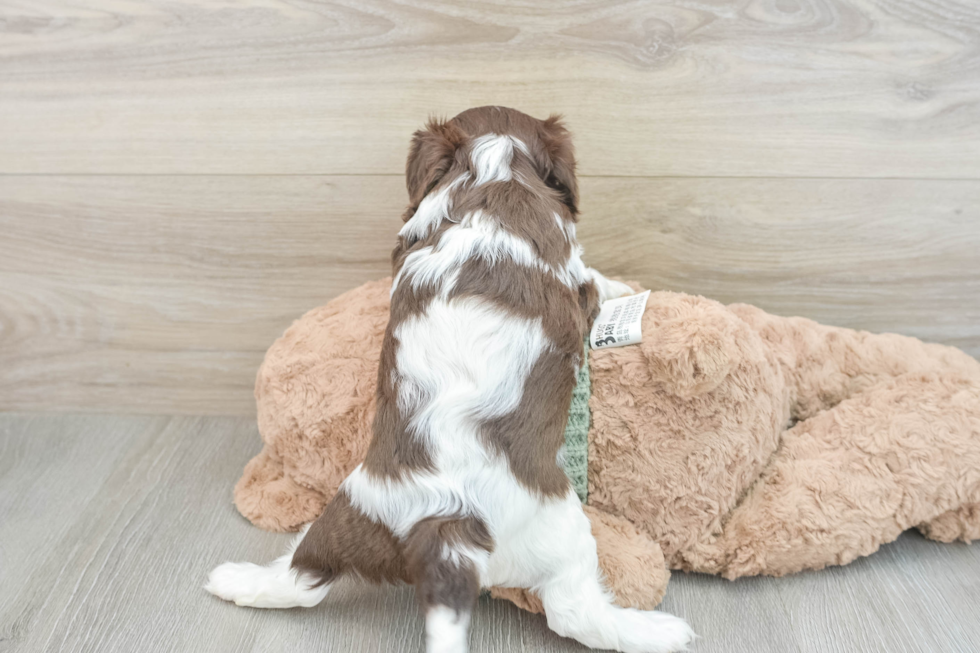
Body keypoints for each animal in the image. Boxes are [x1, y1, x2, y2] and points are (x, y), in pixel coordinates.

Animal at [208, 107, 696, 652]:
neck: (491, 167)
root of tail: (445, 525)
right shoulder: (573, 271)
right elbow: (594, 278)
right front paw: (621, 287)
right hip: (560, 533)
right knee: (573, 611)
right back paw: (657, 631)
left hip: (351, 515)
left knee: (302, 575)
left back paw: (235, 580)